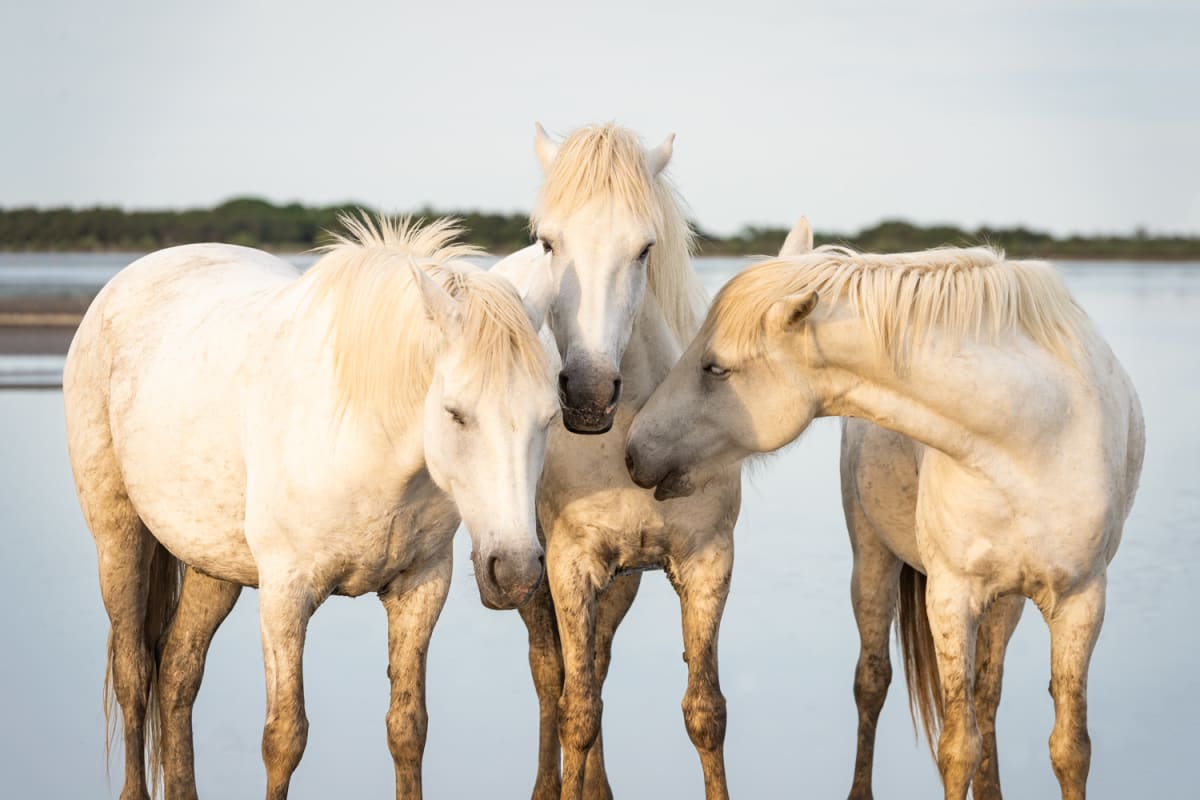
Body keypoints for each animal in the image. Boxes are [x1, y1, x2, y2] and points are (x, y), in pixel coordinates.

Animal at [66, 217, 561, 800]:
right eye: (455, 413)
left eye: (550, 416)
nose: (517, 572)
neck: (365, 436)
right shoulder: (286, 594)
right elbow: (285, 737)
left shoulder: (421, 586)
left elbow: (407, 727)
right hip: (119, 539)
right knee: (134, 672)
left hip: (214, 567)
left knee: (177, 672)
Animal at [506, 123, 739, 800]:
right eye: (548, 241)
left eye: (643, 248)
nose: (587, 393)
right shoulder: (568, 565)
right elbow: (576, 709)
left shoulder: (707, 561)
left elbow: (705, 712)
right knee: (550, 675)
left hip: (622, 577)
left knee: (598, 662)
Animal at [628, 221, 1142, 800]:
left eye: (715, 368)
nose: (633, 450)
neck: (1033, 435)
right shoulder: (952, 595)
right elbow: (958, 748)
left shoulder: (1082, 601)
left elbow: (1069, 749)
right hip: (873, 560)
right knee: (873, 682)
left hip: (1006, 600)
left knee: (987, 698)